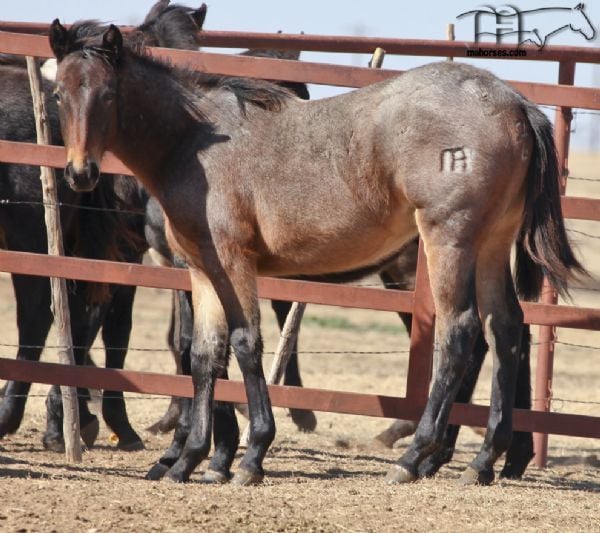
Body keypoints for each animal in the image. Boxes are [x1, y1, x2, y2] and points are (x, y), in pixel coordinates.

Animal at [49, 22, 584, 484]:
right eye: (59, 95)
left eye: (109, 95)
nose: (80, 172)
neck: (193, 143)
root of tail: (516, 102)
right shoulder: (202, 269)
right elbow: (203, 355)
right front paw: (190, 460)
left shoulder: (232, 261)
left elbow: (244, 343)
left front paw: (248, 456)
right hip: (491, 243)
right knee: (506, 327)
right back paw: (485, 460)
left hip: (448, 240)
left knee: (460, 333)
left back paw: (415, 456)